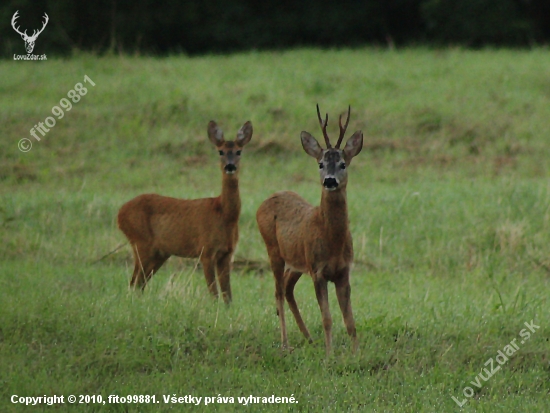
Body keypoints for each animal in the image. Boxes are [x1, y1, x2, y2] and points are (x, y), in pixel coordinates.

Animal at [119, 119, 253, 302]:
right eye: (221, 152)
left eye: (239, 151)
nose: (230, 166)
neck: (224, 215)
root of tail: (120, 213)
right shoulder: (205, 250)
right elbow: (214, 292)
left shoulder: (226, 253)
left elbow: (228, 295)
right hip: (141, 242)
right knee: (134, 281)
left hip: (160, 252)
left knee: (139, 283)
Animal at [258, 104, 364, 352]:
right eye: (321, 164)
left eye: (343, 164)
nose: (330, 180)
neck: (332, 239)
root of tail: (265, 201)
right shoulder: (318, 270)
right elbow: (327, 318)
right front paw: (329, 353)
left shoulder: (343, 271)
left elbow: (350, 320)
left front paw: (356, 353)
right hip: (273, 249)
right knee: (278, 291)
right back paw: (285, 343)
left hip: (297, 260)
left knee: (287, 287)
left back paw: (308, 338)